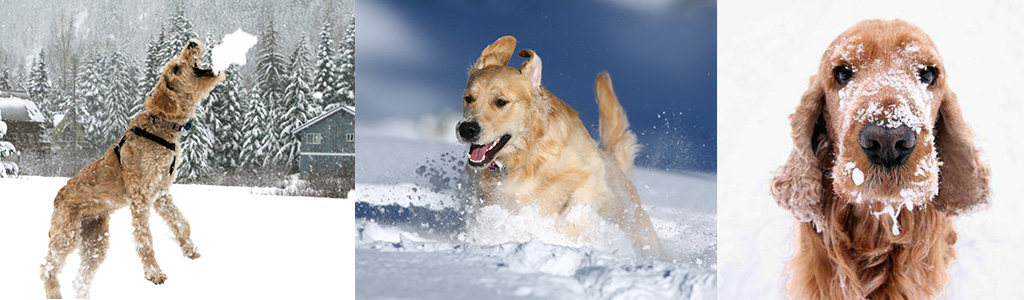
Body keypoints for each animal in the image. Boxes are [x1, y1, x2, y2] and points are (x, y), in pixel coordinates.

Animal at [41, 39, 224, 296]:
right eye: (176, 69)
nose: (191, 42)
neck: (161, 126)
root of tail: (57, 197)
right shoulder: (141, 197)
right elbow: (145, 238)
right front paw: (154, 272)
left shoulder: (162, 194)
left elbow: (181, 222)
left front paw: (189, 248)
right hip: (66, 234)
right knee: (47, 267)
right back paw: (54, 292)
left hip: (95, 239)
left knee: (80, 279)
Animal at [456, 35, 663, 254]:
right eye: (468, 98)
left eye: (501, 102)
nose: (467, 129)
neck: (529, 157)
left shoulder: (591, 173)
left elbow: (574, 211)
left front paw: (564, 239)